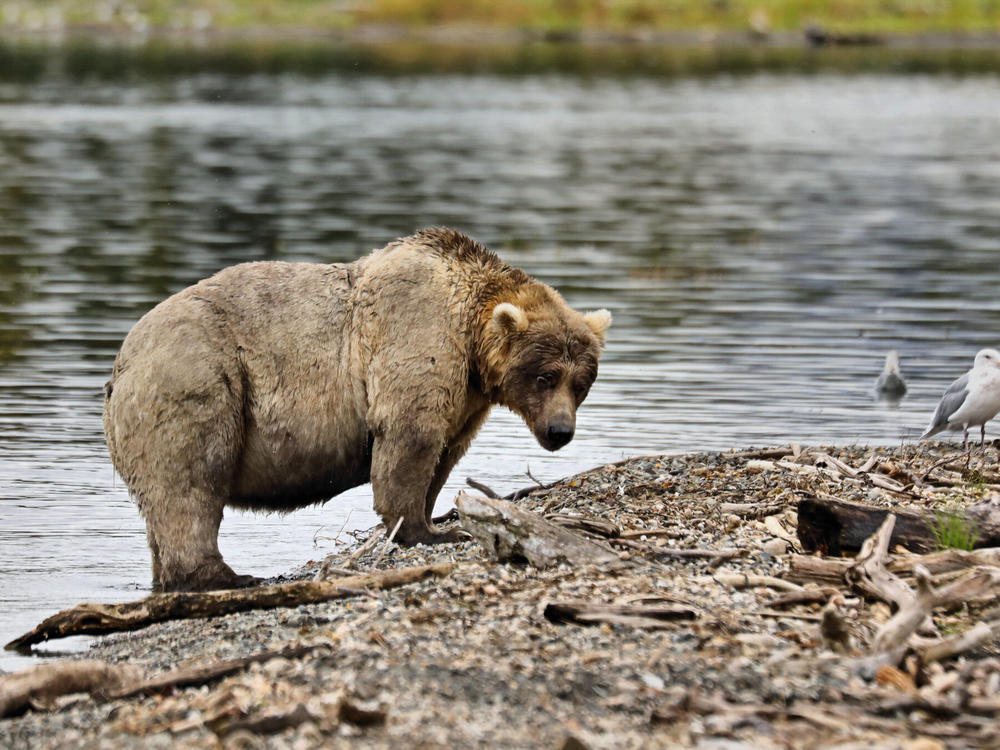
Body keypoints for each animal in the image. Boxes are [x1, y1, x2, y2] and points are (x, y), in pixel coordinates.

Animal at [105, 229, 612, 592]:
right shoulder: (417, 334)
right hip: (198, 381)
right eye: (544, 376)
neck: (471, 340)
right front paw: (427, 530)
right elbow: (409, 436)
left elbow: (444, 452)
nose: (560, 430)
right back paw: (225, 576)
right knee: (191, 482)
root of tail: (121, 363)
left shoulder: (467, 398)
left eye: (581, 382)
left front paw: (434, 517)